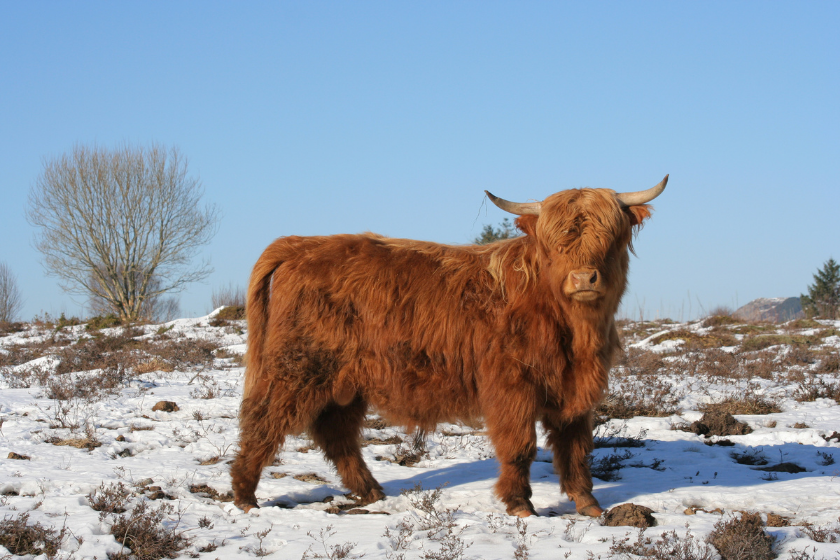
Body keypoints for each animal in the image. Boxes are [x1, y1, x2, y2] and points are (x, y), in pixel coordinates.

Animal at [231, 175, 668, 516]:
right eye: (554, 243)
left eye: (610, 238)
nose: (583, 278)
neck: (573, 330)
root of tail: (300, 244)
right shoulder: (511, 386)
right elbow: (520, 446)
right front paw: (520, 504)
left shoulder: (574, 391)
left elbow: (576, 447)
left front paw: (588, 503)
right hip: (297, 366)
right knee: (264, 421)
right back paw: (244, 495)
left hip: (346, 381)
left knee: (336, 433)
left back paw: (370, 491)